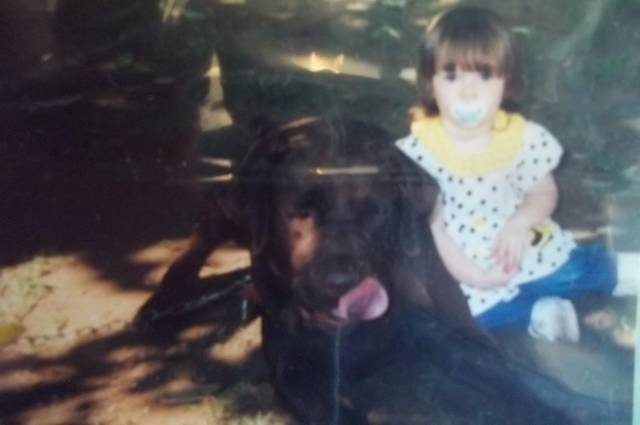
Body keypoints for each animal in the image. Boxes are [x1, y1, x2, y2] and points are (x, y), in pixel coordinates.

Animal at [136, 115, 629, 424]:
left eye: (373, 212)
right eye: (300, 212)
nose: (342, 281)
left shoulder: (444, 335)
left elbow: (534, 386)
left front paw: (599, 409)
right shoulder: (294, 370)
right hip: (230, 208)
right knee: (206, 227)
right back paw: (165, 298)